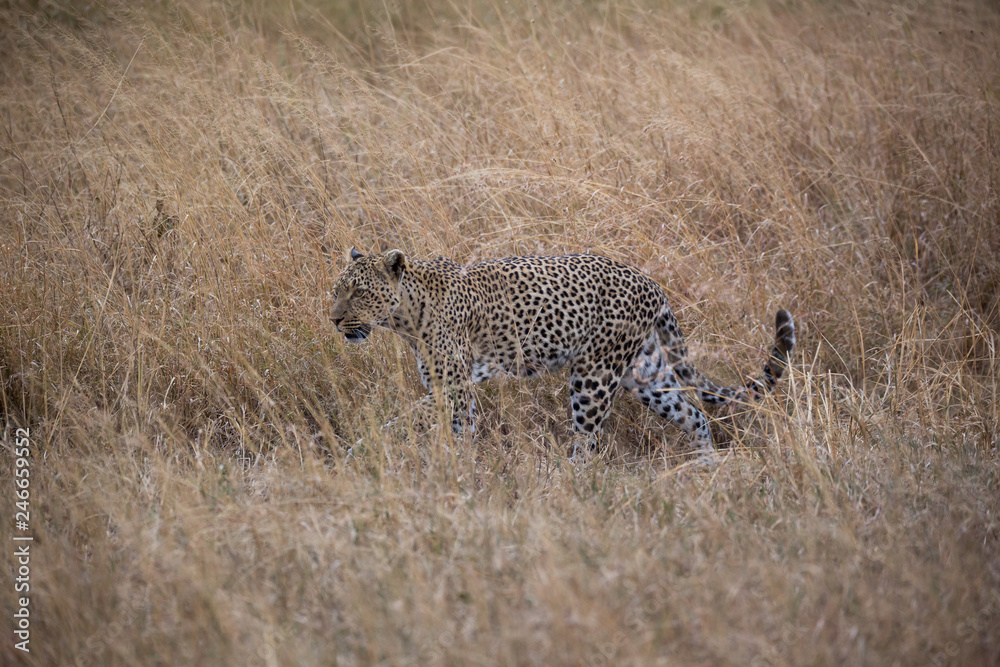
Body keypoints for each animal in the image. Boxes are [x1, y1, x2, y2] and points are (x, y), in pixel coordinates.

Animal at [331, 247, 796, 457]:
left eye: (358, 293)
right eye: (338, 290)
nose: (334, 319)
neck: (405, 318)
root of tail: (651, 283)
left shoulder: (454, 387)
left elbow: (404, 419)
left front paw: (358, 451)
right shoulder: (456, 394)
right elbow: (459, 431)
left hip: (594, 376)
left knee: (588, 441)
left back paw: (567, 484)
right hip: (645, 374)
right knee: (694, 413)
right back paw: (704, 468)